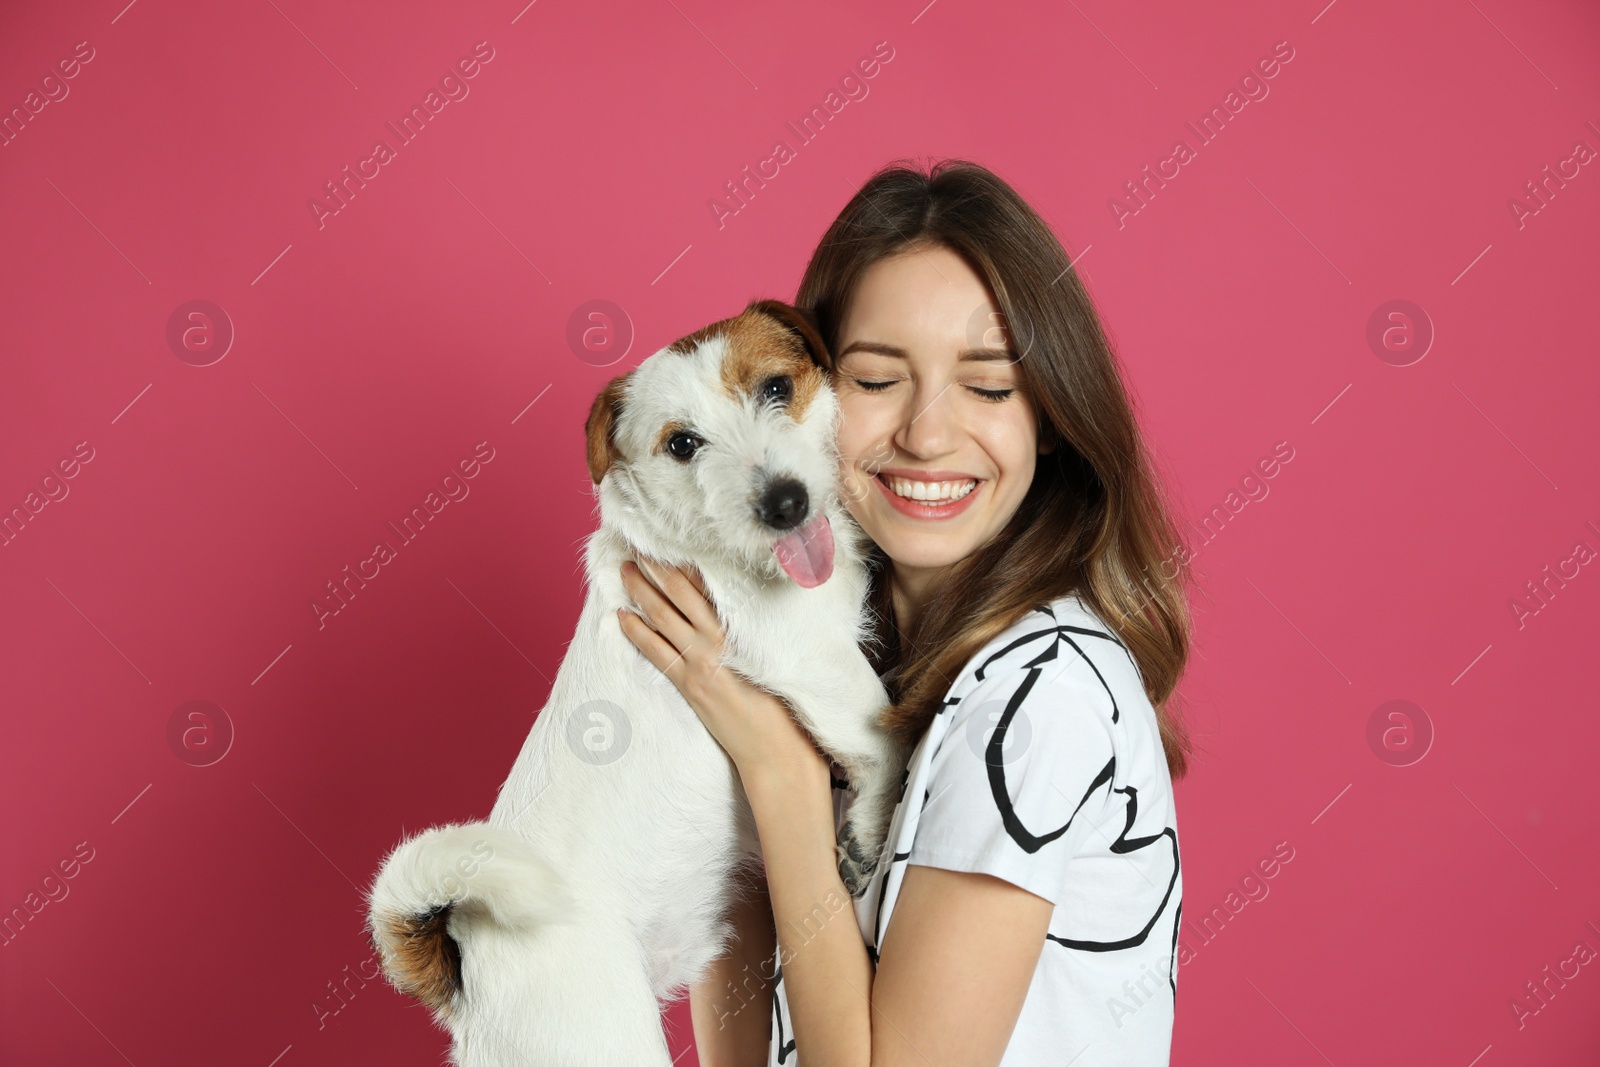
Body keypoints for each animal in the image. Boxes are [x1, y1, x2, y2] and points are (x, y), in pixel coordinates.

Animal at [366, 299, 915, 1067]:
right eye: (682, 444)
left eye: (777, 387)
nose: (784, 502)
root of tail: (469, 981)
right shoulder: (809, 655)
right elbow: (886, 736)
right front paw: (866, 833)